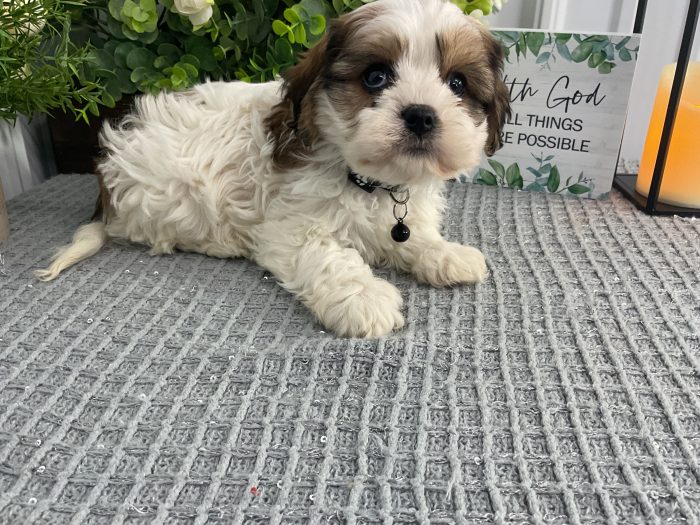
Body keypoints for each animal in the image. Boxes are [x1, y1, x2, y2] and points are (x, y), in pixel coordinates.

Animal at [37, 0, 508, 336]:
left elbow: (411, 237)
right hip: (166, 192)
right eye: (375, 77)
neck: (371, 181)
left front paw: (444, 253)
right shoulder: (290, 228)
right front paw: (363, 297)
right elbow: (328, 257)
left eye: (457, 83)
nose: (422, 115)